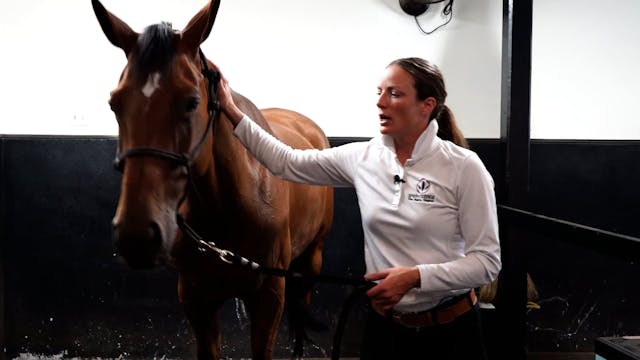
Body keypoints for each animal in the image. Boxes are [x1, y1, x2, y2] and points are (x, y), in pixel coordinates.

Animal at [93, 1, 338, 358]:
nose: (137, 236)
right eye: (115, 103)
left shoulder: (269, 295)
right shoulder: (197, 298)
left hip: (311, 260)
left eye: (192, 101)